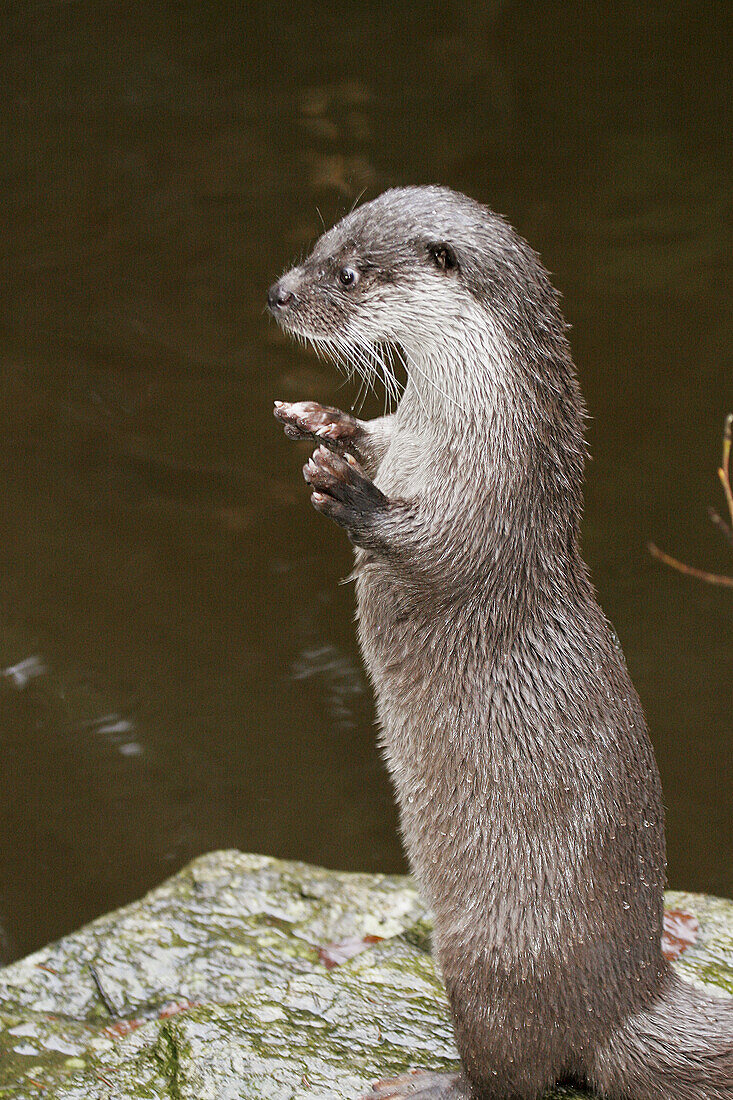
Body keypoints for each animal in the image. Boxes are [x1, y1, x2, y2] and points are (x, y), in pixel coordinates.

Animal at [268, 189, 730, 1100]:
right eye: (319, 243)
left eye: (348, 274)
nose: (278, 294)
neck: (449, 434)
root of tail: (629, 998)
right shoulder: (405, 438)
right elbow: (373, 435)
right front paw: (320, 422)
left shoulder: (493, 513)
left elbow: (432, 551)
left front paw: (348, 491)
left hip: (485, 963)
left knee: (512, 1071)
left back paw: (420, 1082)